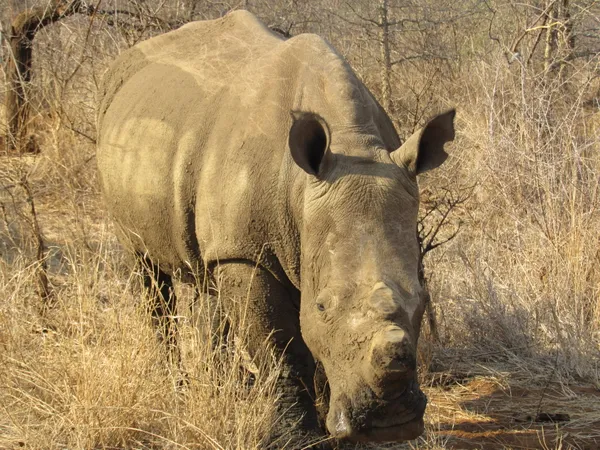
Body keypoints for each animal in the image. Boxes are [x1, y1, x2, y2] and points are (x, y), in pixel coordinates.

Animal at [97, 10, 454, 446]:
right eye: (323, 305)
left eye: (423, 299)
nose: (391, 423)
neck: (352, 146)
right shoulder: (247, 252)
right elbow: (281, 348)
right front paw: (297, 437)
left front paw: (330, 427)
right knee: (147, 271)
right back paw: (176, 389)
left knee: (206, 275)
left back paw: (223, 391)